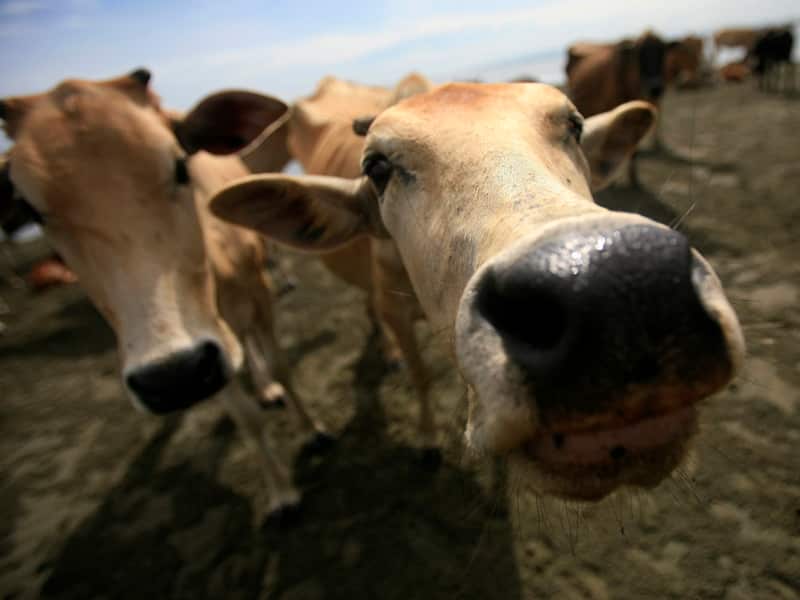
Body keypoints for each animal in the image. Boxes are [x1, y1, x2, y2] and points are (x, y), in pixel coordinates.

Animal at [0, 69, 329, 517]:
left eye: (179, 166)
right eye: (32, 209)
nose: (171, 376)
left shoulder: (254, 301)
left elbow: (282, 366)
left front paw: (313, 431)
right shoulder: (207, 353)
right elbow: (245, 416)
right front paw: (280, 492)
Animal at [209, 82, 744, 502]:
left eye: (573, 126)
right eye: (378, 167)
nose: (611, 288)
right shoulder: (396, 312)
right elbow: (422, 376)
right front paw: (427, 441)